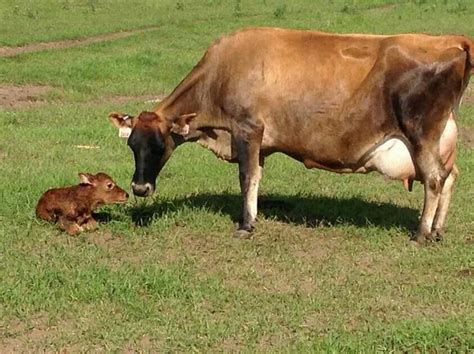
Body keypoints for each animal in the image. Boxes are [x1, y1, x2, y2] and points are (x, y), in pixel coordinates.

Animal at [109, 28, 472, 241]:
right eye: (132, 145)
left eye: (160, 145)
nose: (139, 188)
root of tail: (453, 40)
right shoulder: (259, 141)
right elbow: (256, 178)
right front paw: (253, 217)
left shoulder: (247, 128)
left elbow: (246, 176)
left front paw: (245, 226)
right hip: (441, 140)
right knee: (450, 176)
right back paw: (438, 229)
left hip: (421, 134)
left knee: (434, 179)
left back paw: (422, 233)